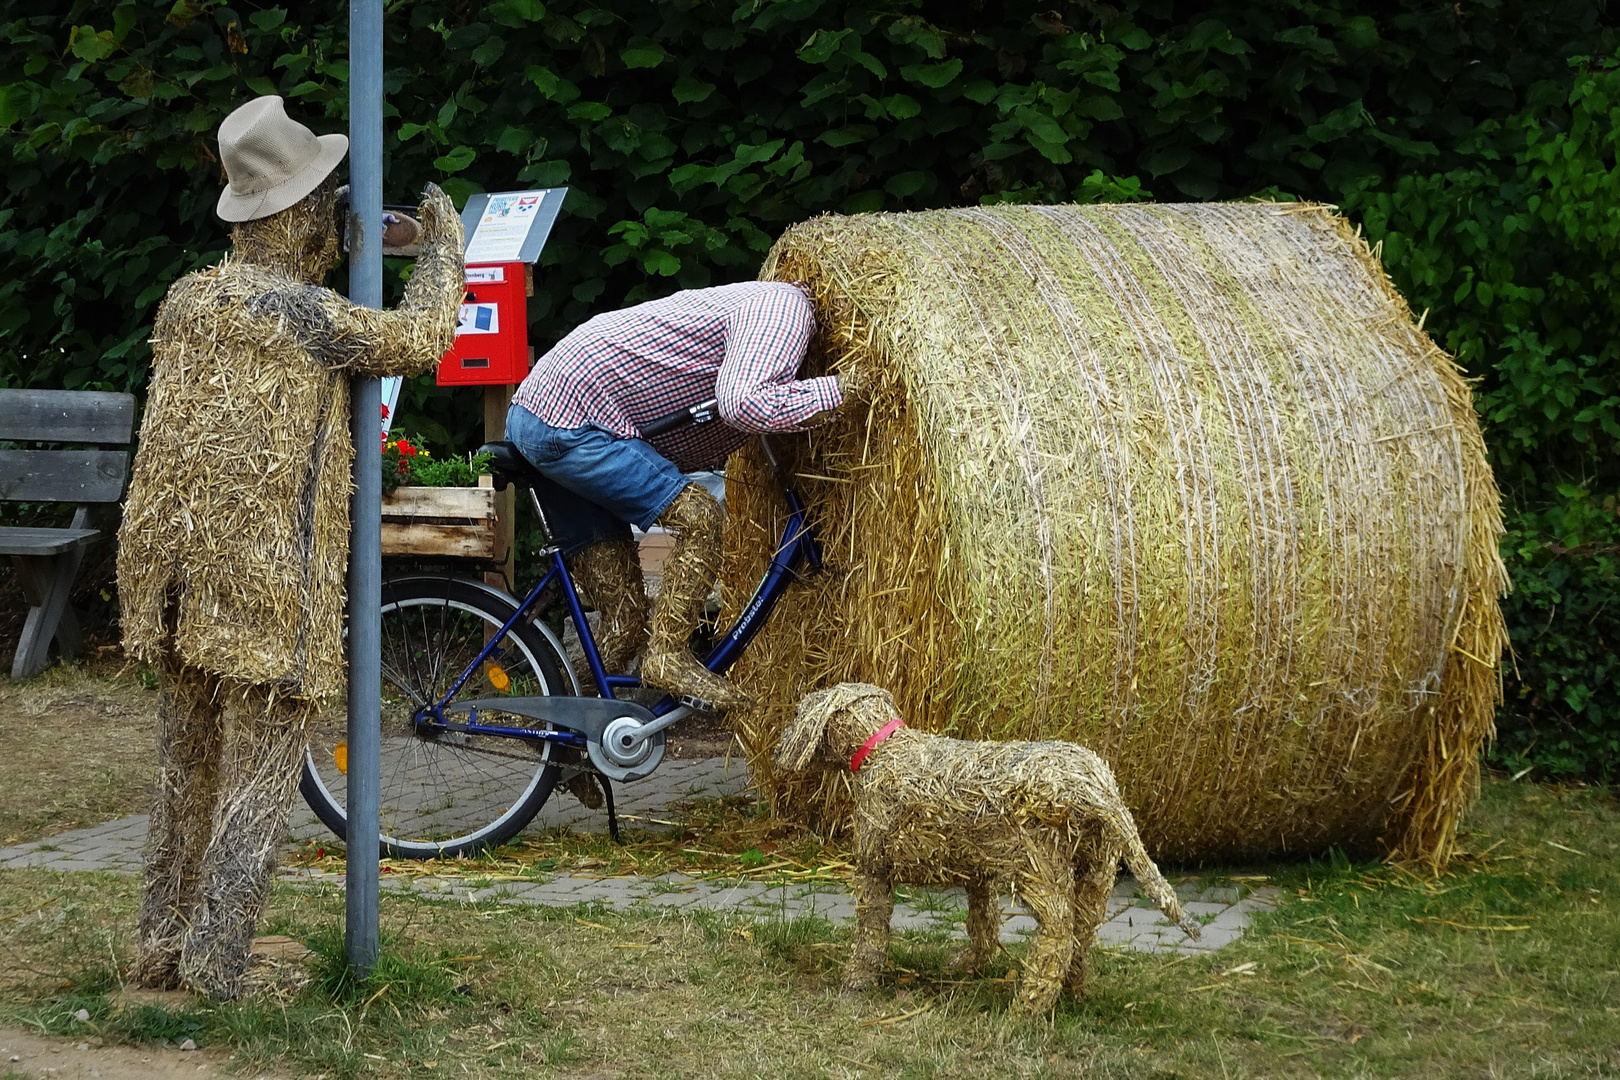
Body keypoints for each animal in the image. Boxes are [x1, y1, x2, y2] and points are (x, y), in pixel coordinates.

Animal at [771, 683, 1205, 1016]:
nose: (777, 749)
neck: (885, 751)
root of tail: (1093, 787)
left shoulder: (873, 869)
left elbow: (871, 933)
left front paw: (856, 980)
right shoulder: (978, 870)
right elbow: (983, 922)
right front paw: (970, 965)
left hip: (1040, 866)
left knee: (1059, 935)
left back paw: (1026, 1010)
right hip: (1097, 866)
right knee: (1083, 932)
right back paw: (1072, 991)